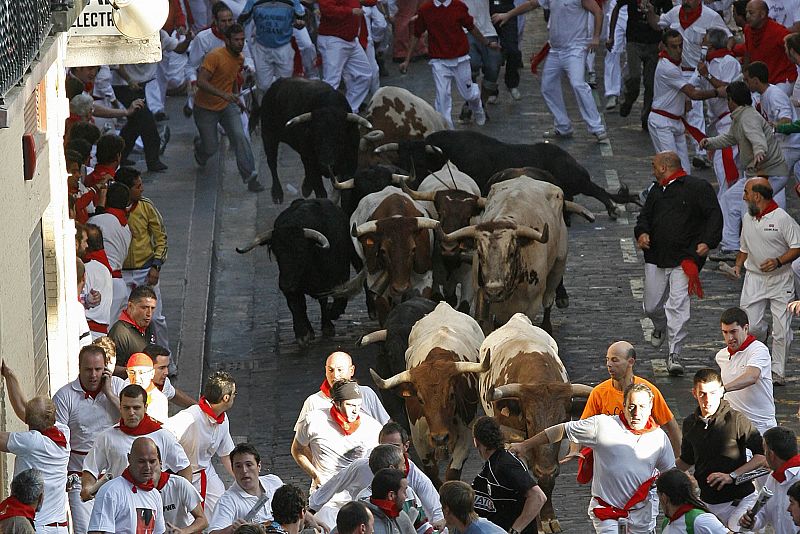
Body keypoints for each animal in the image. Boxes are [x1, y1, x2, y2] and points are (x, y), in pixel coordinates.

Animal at [233, 200, 354, 348]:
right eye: (276, 252)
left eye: (301, 250)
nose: (285, 284)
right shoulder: (290, 287)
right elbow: (296, 306)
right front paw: (302, 334)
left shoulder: (332, 281)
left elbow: (326, 301)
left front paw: (327, 326)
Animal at [370, 304, 488, 488]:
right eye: (420, 399)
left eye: (452, 395)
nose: (440, 437)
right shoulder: (419, 439)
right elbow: (432, 473)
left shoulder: (465, 436)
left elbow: (452, 473)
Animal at [374, 131, 636, 219]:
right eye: (400, 160)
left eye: (419, 160)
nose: (409, 180)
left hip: (576, 178)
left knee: (597, 189)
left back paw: (613, 208)